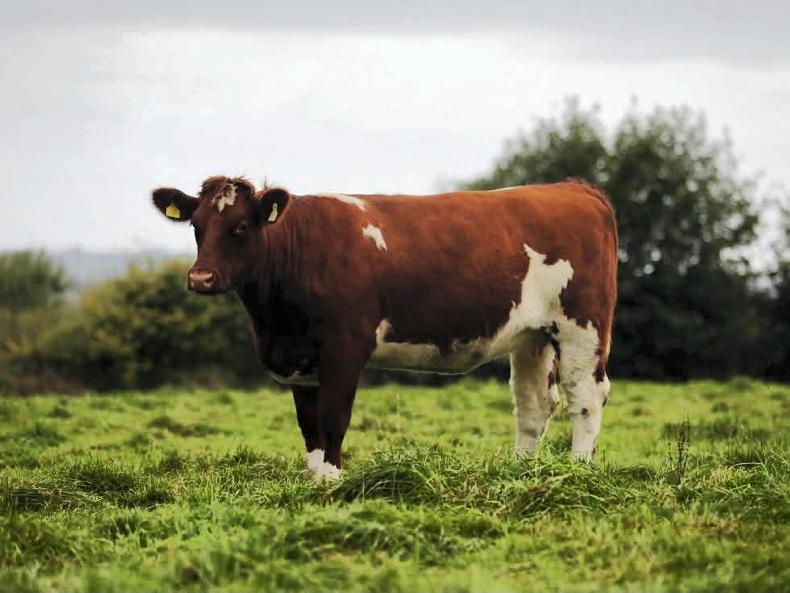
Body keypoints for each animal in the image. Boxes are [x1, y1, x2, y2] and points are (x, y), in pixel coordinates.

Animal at [152, 176, 618, 479]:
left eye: (242, 226)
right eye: (196, 226)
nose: (200, 277)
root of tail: (572, 188)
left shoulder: (344, 348)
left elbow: (334, 418)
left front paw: (331, 484)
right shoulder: (301, 360)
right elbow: (310, 425)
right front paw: (313, 481)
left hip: (582, 327)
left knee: (585, 398)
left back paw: (577, 472)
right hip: (532, 336)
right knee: (533, 405)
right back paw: (521, 473)